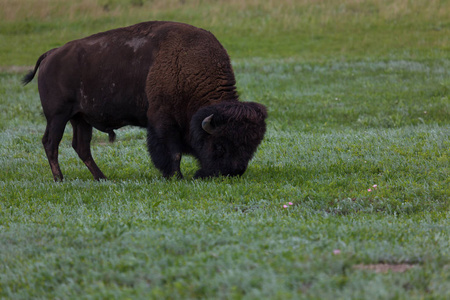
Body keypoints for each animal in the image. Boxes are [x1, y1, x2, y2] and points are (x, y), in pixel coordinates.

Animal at [23, 21, 268, 180]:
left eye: (251, 146)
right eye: (219, 145)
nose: (233, 172)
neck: (188, 68)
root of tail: (52, 54)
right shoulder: (163, 121)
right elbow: (173, 151)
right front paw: (176, 176)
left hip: (80, 119)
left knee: (81, 147)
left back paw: (102, 178)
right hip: (58, 116)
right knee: (51, 143)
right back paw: (59, 178)